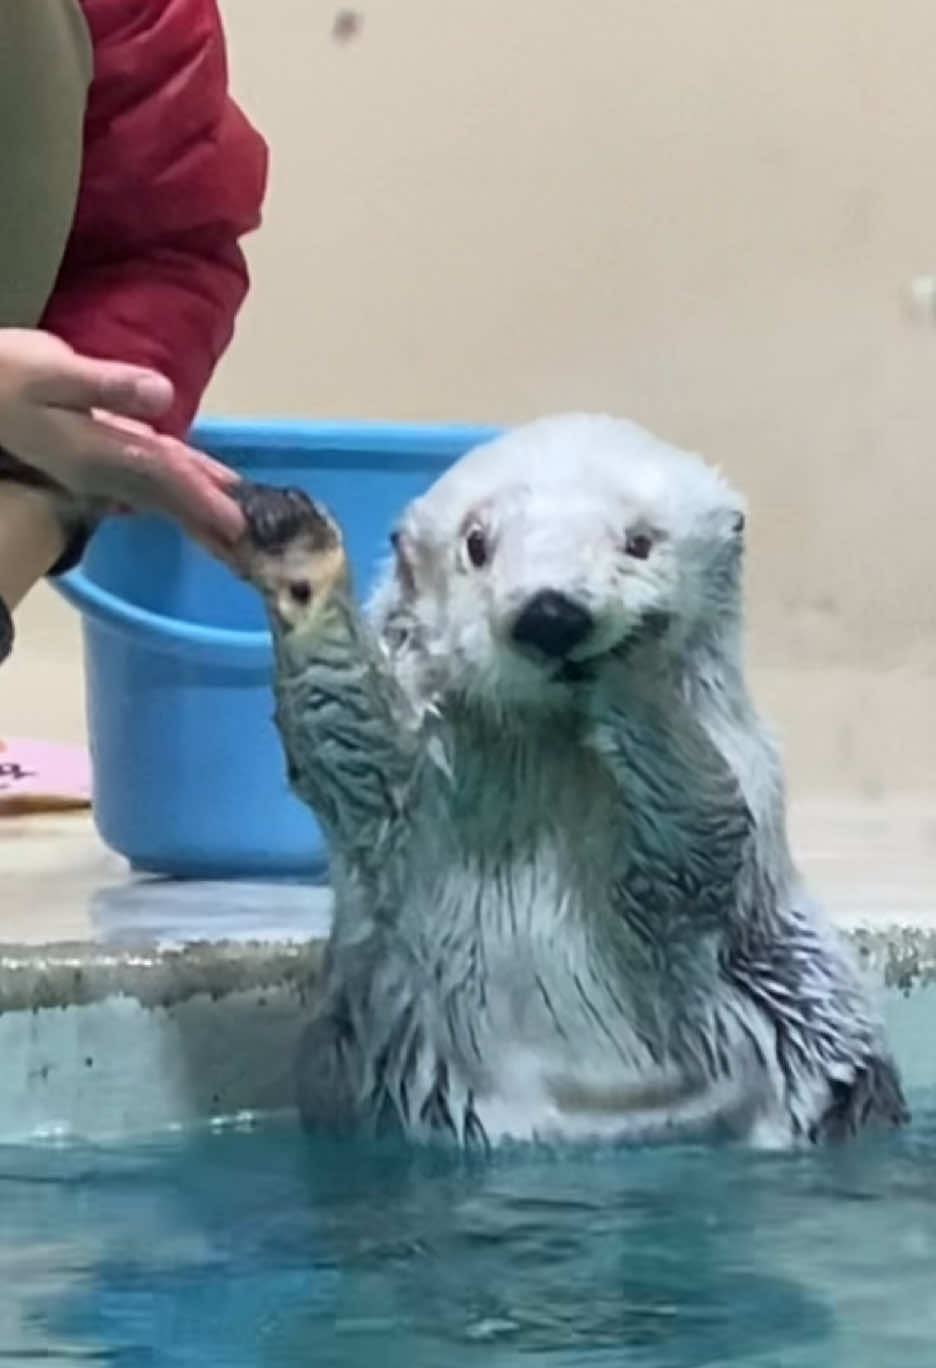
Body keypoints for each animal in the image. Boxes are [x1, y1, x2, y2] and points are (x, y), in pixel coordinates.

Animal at [232, 410, 908, 1149]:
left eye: (639, 541)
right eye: (476, 542)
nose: (552, 614)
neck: (547, 740)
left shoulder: (741, 773)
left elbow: (701, 837)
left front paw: (630, 668)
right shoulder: (410, 788)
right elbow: (351, 740)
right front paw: (295, 544)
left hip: (822, 1035)